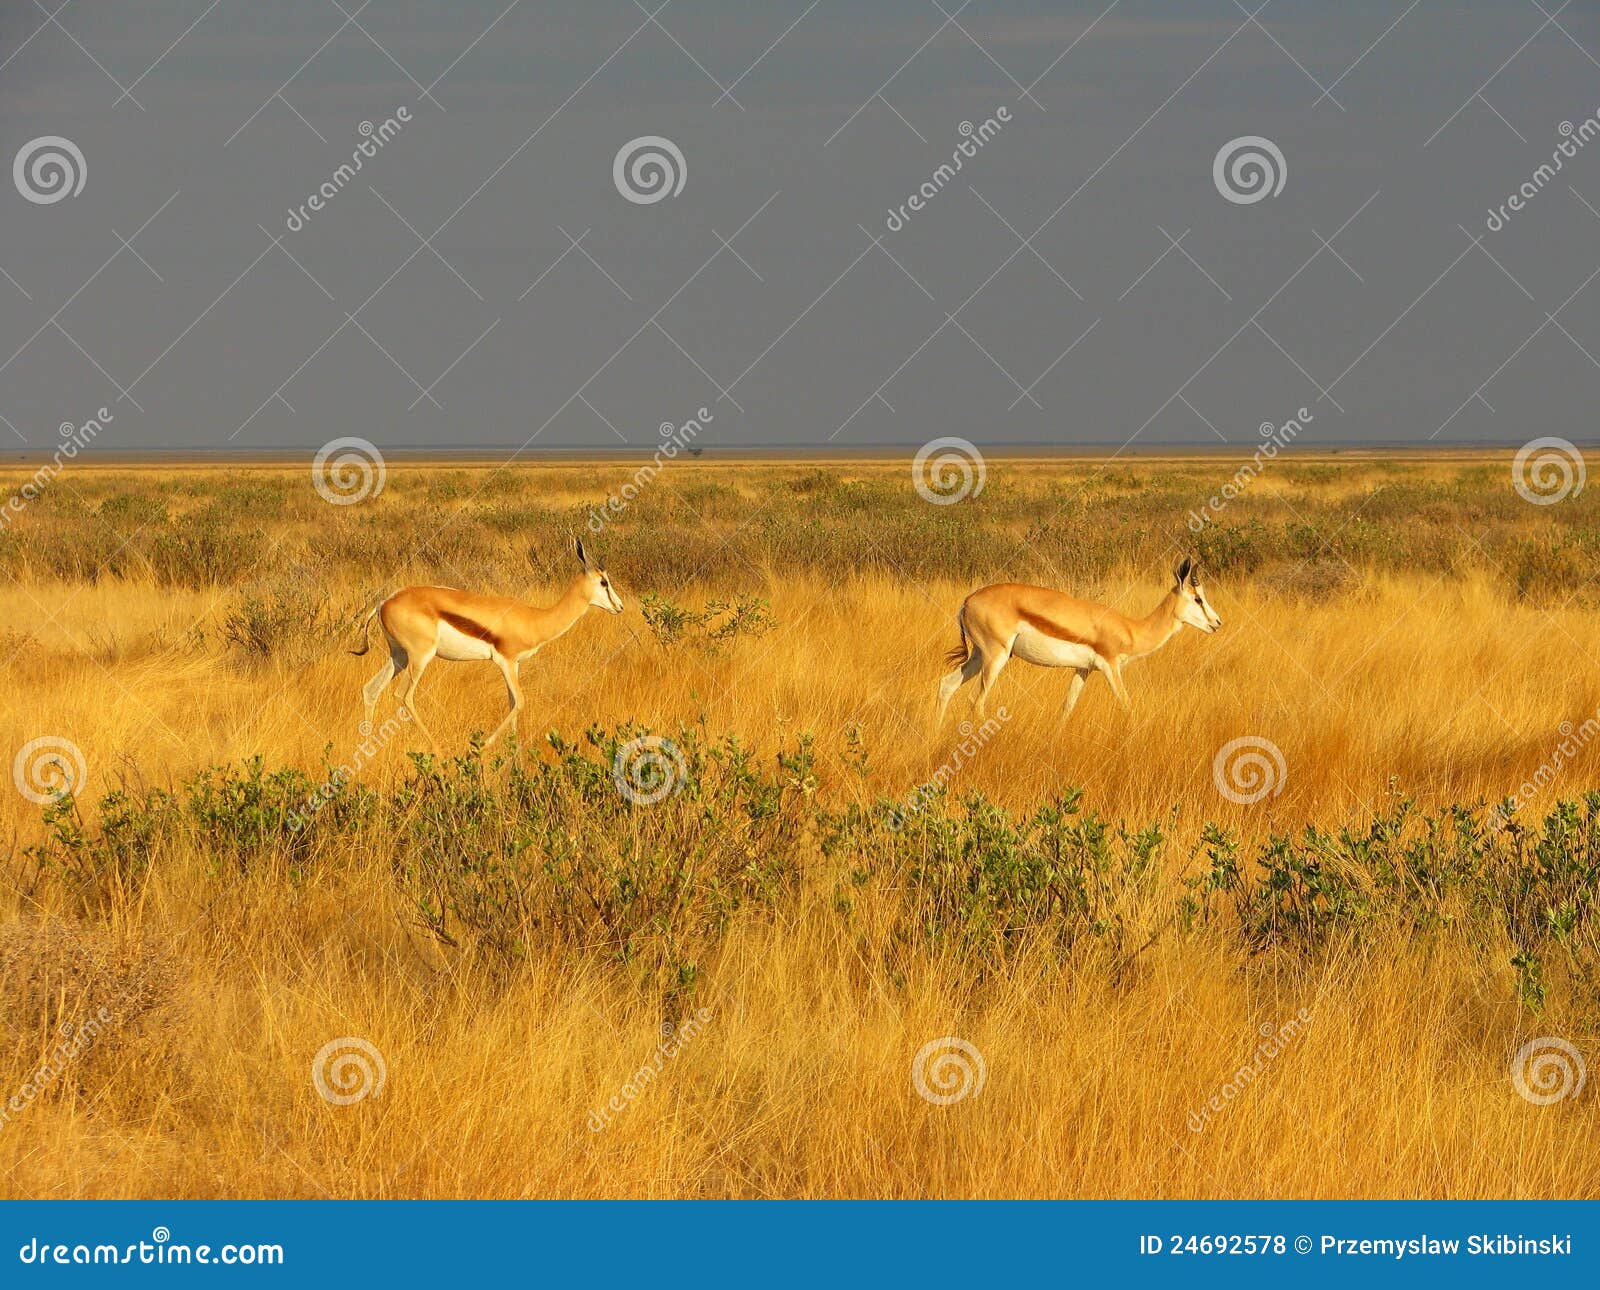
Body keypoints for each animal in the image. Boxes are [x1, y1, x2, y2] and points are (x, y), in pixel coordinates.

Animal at [352, 540, 624, 752]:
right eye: (603, 582)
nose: (619, 607)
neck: (535, 619)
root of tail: (384, 602)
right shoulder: (505, 661)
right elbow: (521, 701)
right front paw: (482, 747)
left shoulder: (515, 665)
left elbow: (513, 704)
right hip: (420, 658)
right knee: (404, 696)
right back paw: (437, 750)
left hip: (399, 657)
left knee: (370, 689)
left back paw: (367, 746)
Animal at [934, 560, 1216, 733]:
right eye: (1198, 599)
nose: (1217, 623)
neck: (1130, 629)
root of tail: (968, 600)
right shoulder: (1111, 666)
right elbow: (1127, 705)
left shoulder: (1084, 670)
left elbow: (1066, 708)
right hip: (996, 657)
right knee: (976, 701)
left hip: (979, 656)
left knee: (946, 685)